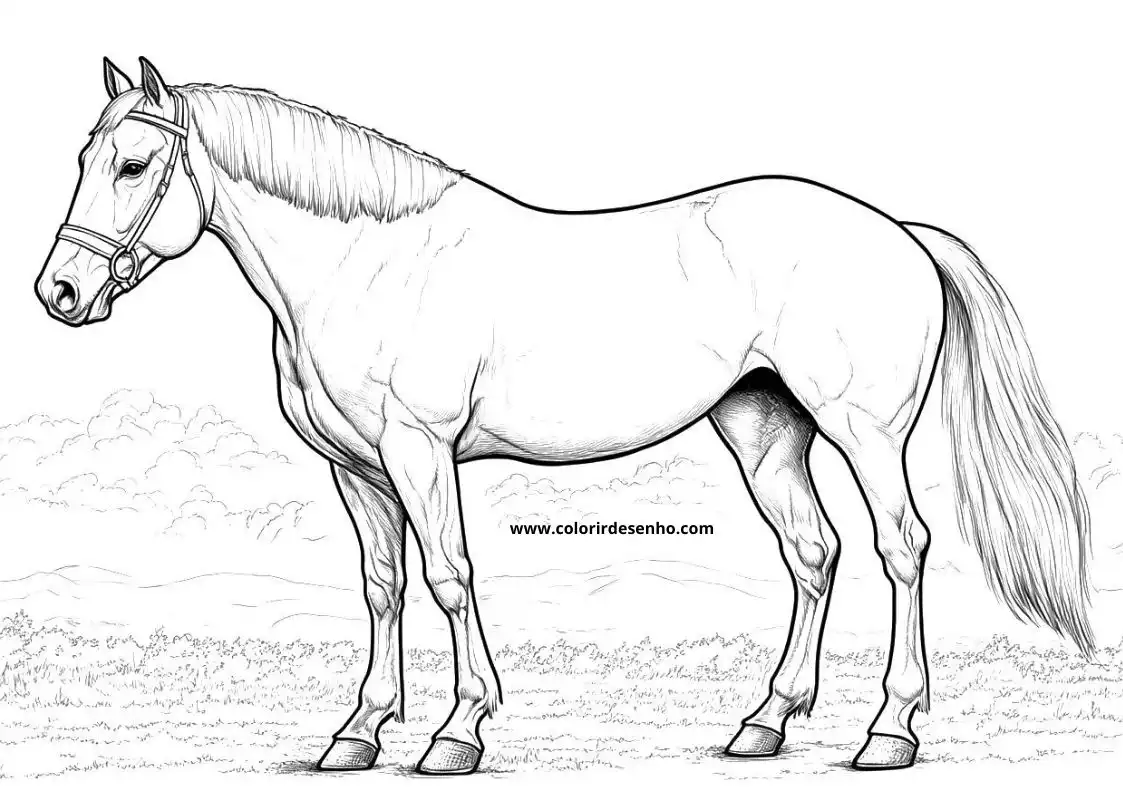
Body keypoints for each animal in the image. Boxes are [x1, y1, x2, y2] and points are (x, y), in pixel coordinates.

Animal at [35, 58, 1093, 775]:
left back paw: (888, 733)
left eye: (135, 164)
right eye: (86, 156)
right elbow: (382, 588)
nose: (59, 292)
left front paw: (458, 734)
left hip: (864, 433)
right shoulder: (358, 469)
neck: (370, 264)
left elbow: (449, 576)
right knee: (812, 553)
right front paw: (357, 733)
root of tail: (897, 232)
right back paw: (762, 724)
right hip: (764, 430)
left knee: (900, 548)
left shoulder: (419, 453)